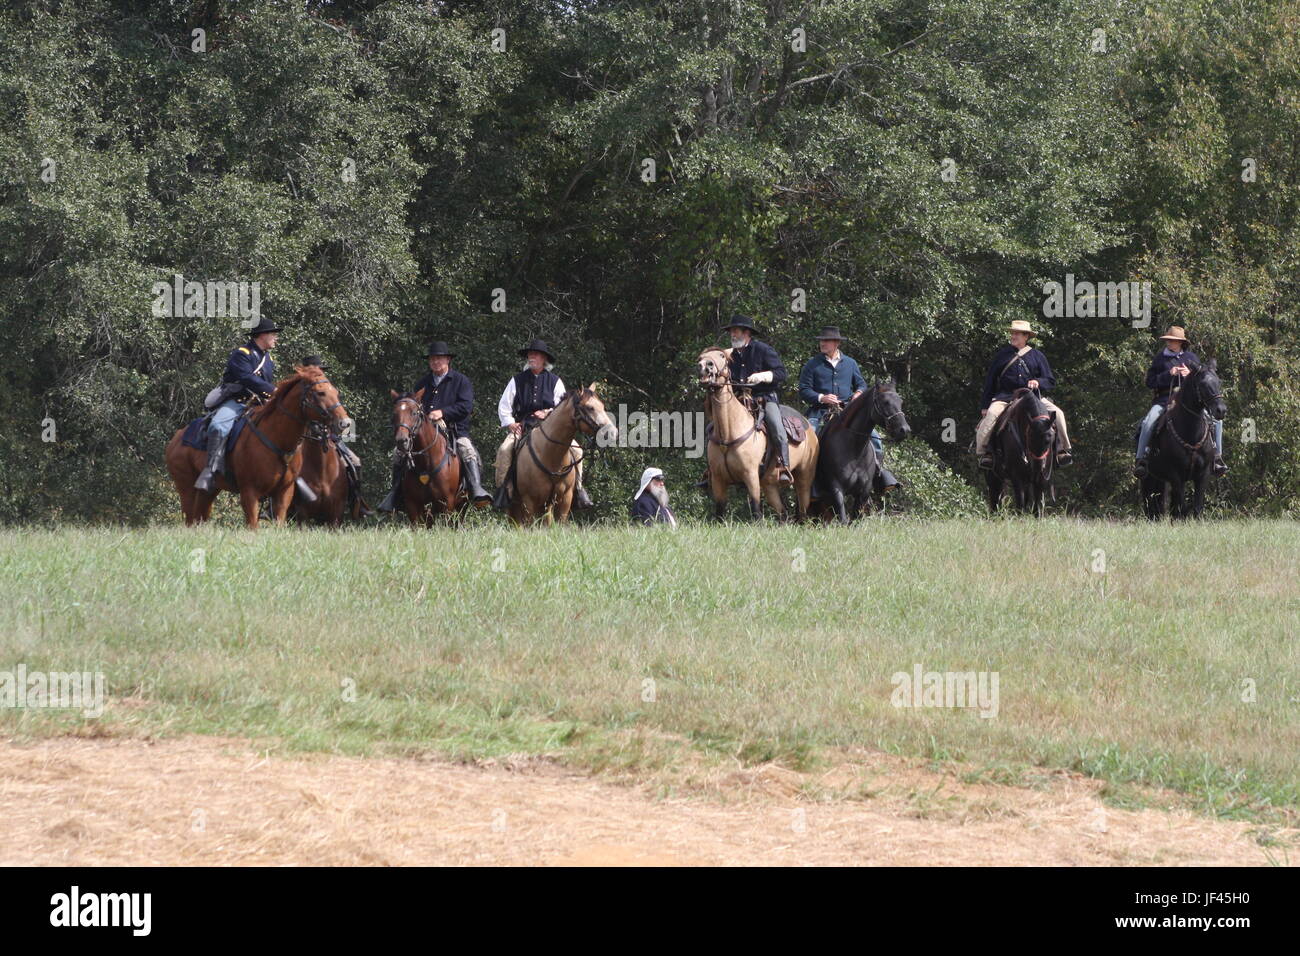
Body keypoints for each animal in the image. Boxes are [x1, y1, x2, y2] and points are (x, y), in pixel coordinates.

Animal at [166, 366, 351, 530]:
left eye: (336, 392)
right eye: (321, 392)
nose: (345, 423)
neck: (277, 438)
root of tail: (176, 439)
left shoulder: (284, 492)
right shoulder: (250, 492)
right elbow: (253, 526)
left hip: (209, 491)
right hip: (186, 488)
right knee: (189, 518)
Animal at [387, 390, 465, 528]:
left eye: (414, 413)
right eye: (394, 414)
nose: (402, 441)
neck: (426, 463)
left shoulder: (447, 503)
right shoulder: (413, 504)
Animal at [696, 345, 816, 522]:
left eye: (721, 356)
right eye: (700, 358)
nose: (705, 366)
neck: (729, 432)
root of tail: (808, 426)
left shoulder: (751, 476)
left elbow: (756, 510)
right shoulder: (718, 479)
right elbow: (719, 512)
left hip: (804, 478)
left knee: (802, 509)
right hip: (769, 484)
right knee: (783, 513)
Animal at [982, 387, 1055, 520]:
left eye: (1051, 437)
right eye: (1029, 437)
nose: (1037, 468)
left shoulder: (1042, 477)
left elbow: (1038, 501)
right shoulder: (1016, 475)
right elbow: (1020, 500)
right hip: (992, 474)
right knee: (995, 495)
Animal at [1144, 361, 1222, 522]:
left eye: (1219, 382)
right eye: (1203, 384)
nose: (1221, 410)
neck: (1191, 434)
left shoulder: (1203, 473)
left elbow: (1197, 506)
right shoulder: (1175, 474)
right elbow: (1182, 506)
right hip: (1150, 476)